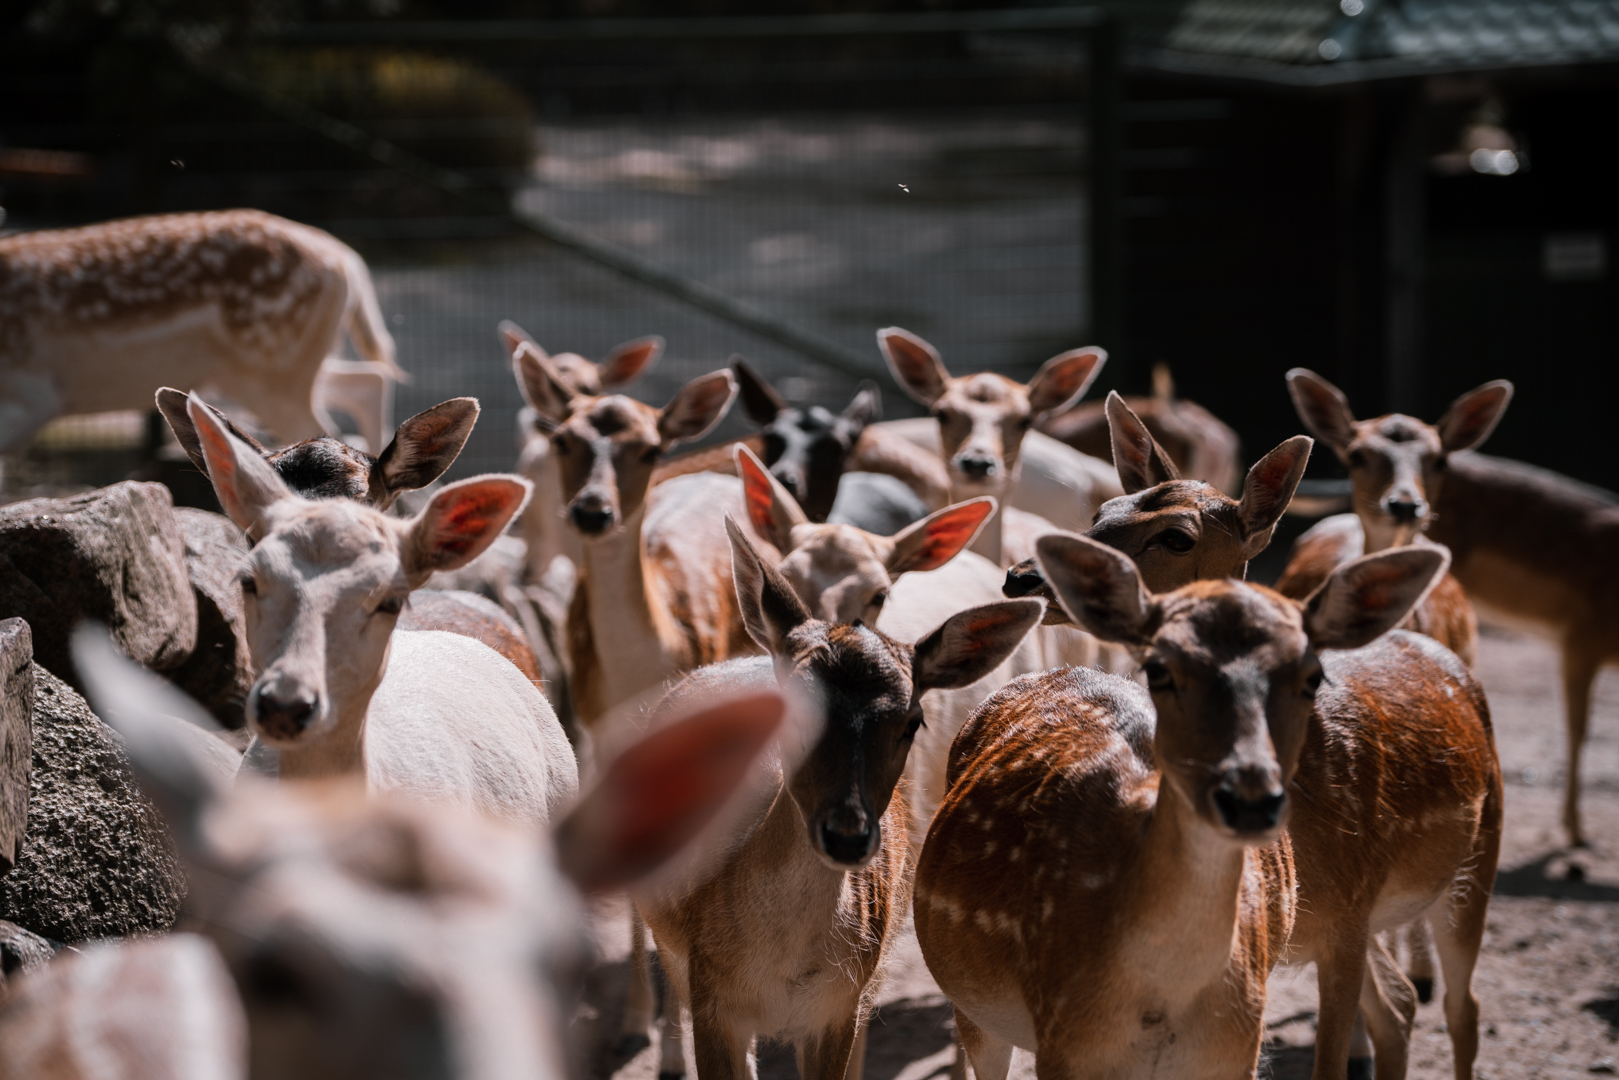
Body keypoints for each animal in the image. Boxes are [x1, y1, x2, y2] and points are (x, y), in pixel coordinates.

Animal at [922, 532, 1499, 1080]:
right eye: (1159, 668)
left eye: (1312, 675)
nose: (1249, 798)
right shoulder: (1066, 1046)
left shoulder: (1264, 1017)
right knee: (1406, 1004)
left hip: (1474, 861)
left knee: (1457, 1006)